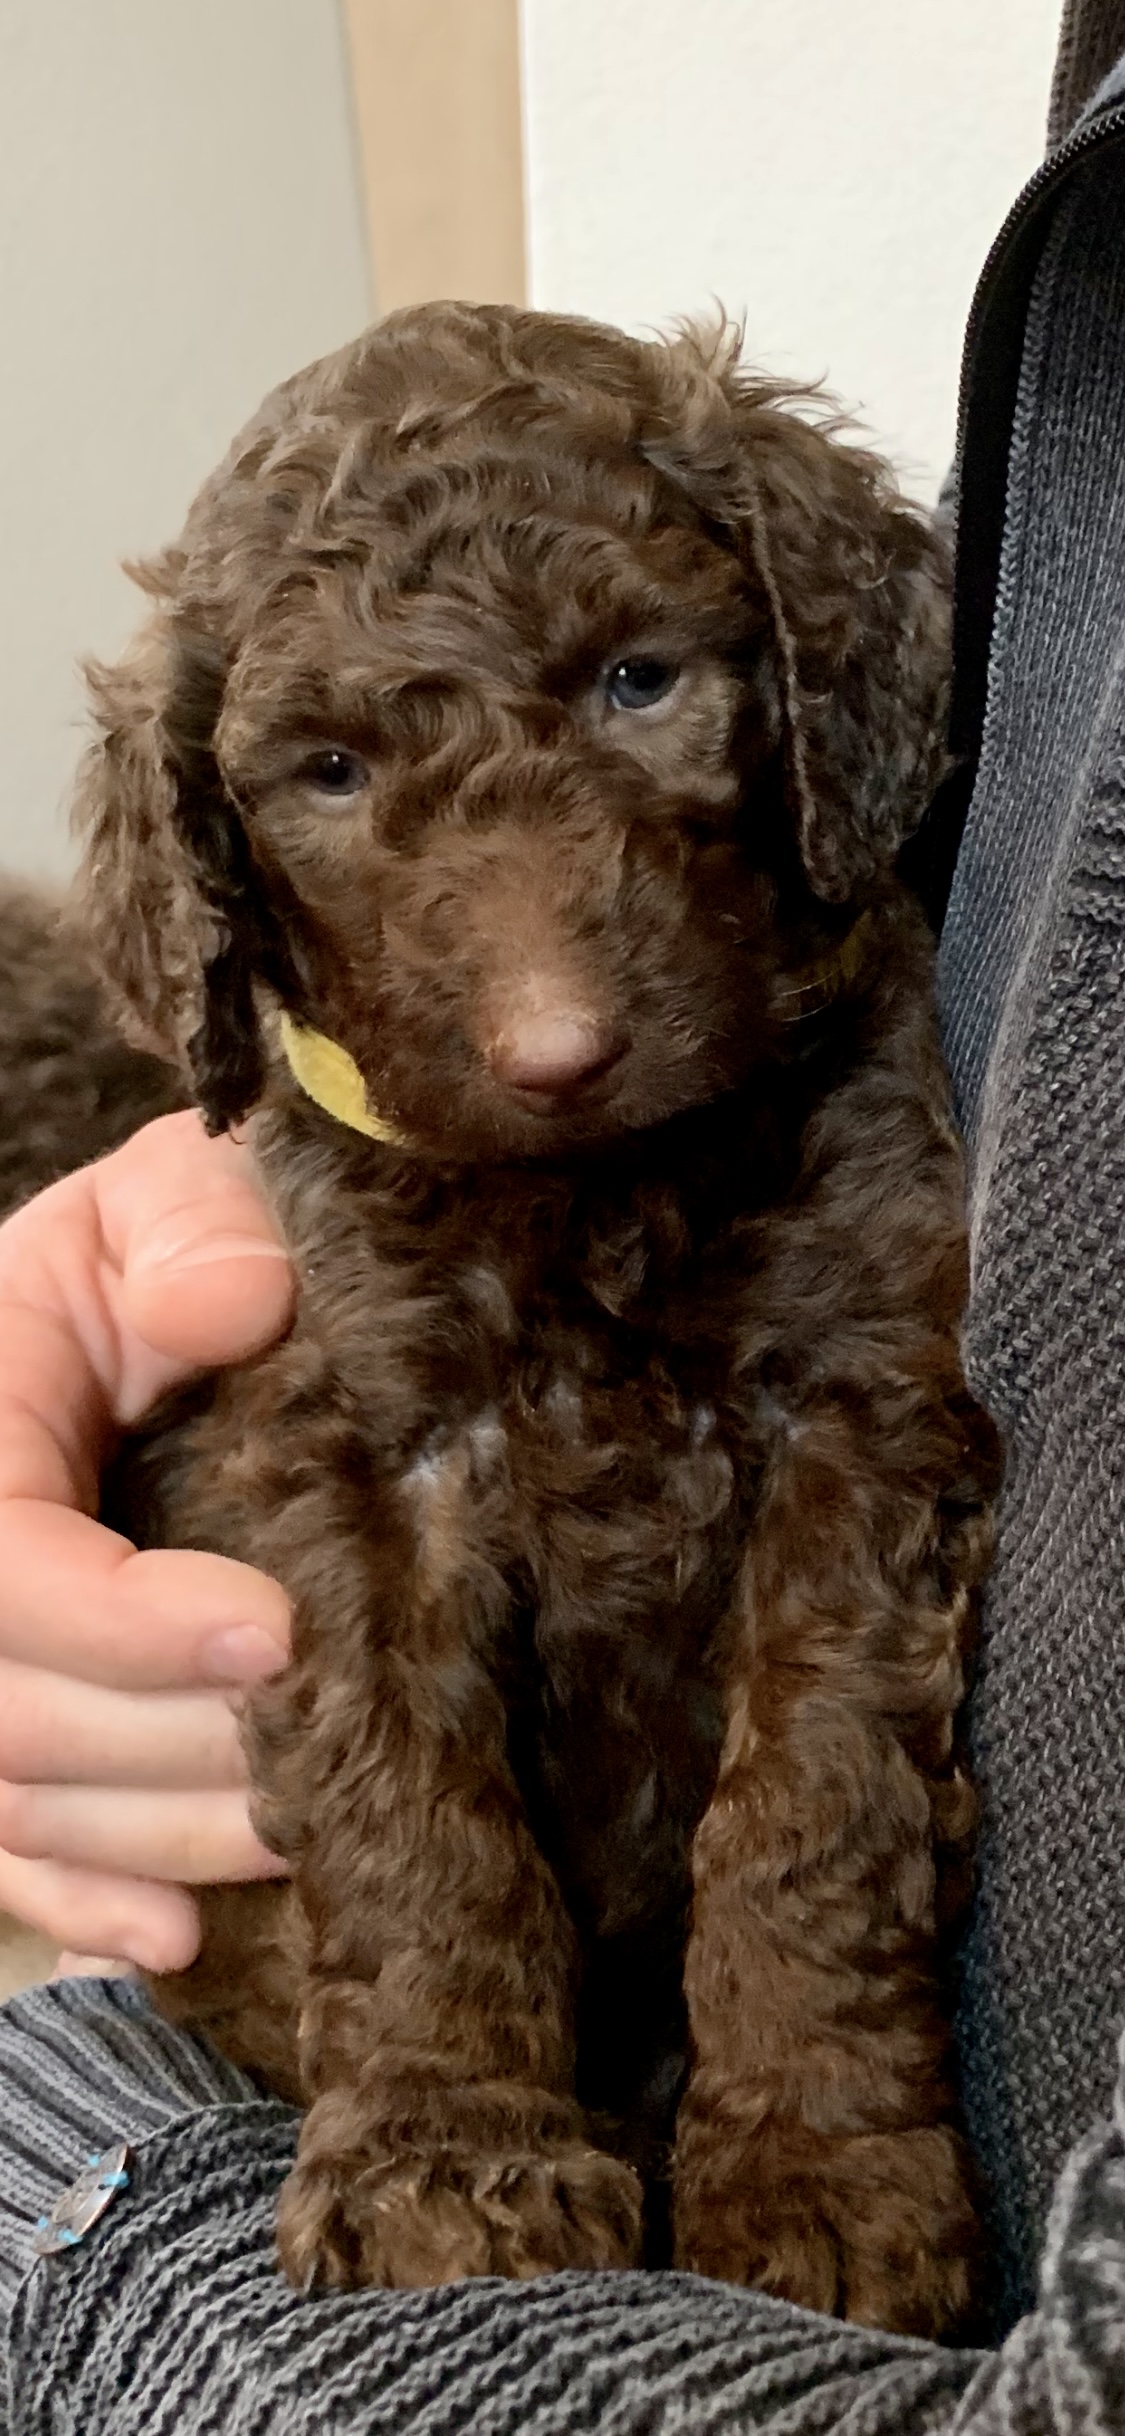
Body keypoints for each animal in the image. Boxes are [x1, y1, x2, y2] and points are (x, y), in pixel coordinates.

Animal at [13, 299, 998, 2319]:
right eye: (324, 774)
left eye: (640, 679)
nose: (557, 1055)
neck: (593, 1198)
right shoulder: (354, 1456)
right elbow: (413, 1816)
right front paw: (448, 2156)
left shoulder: (859, 1410)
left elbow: (815, 1801)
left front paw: (818, 2168)